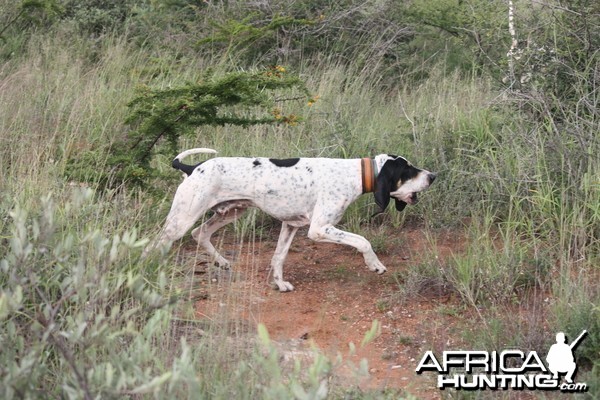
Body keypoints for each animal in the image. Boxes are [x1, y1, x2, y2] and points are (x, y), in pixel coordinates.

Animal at [145, 148, 436, 292]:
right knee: (153, 246)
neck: (354, 173)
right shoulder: (318, 229)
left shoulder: (291, 225)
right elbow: (363, 241)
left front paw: (279, 283)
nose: (433, 176)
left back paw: (222, 262)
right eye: (408, 170)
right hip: (181, 220)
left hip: (231, 212)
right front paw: (374, 265)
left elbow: (278, 257)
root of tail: (193, 167)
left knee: (200, 233)